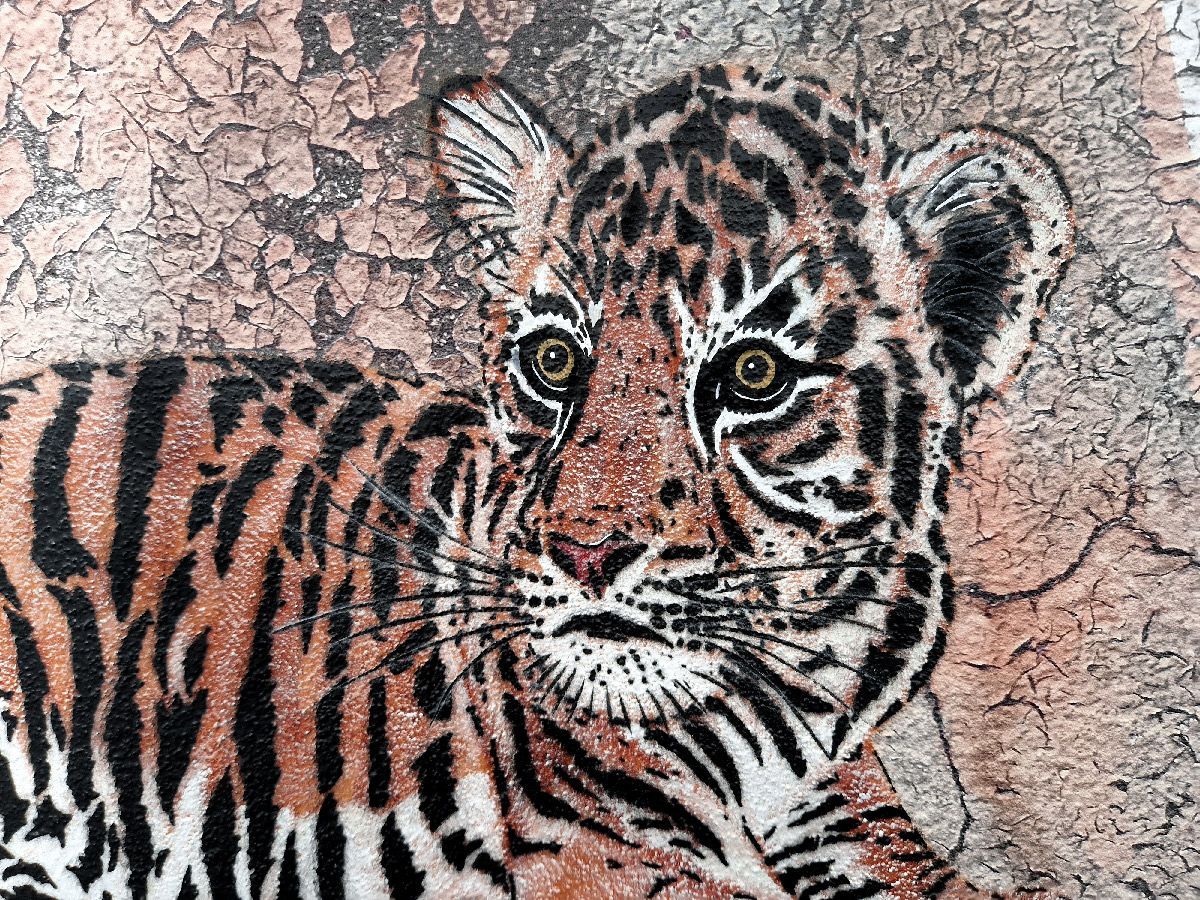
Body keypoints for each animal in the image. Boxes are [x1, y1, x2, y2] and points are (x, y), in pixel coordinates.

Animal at [0, 64, 1074, 899]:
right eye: (554, 361)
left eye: (755, 375)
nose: (587, 554)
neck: (775, 722)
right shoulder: (601, 855)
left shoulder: (843, 809)